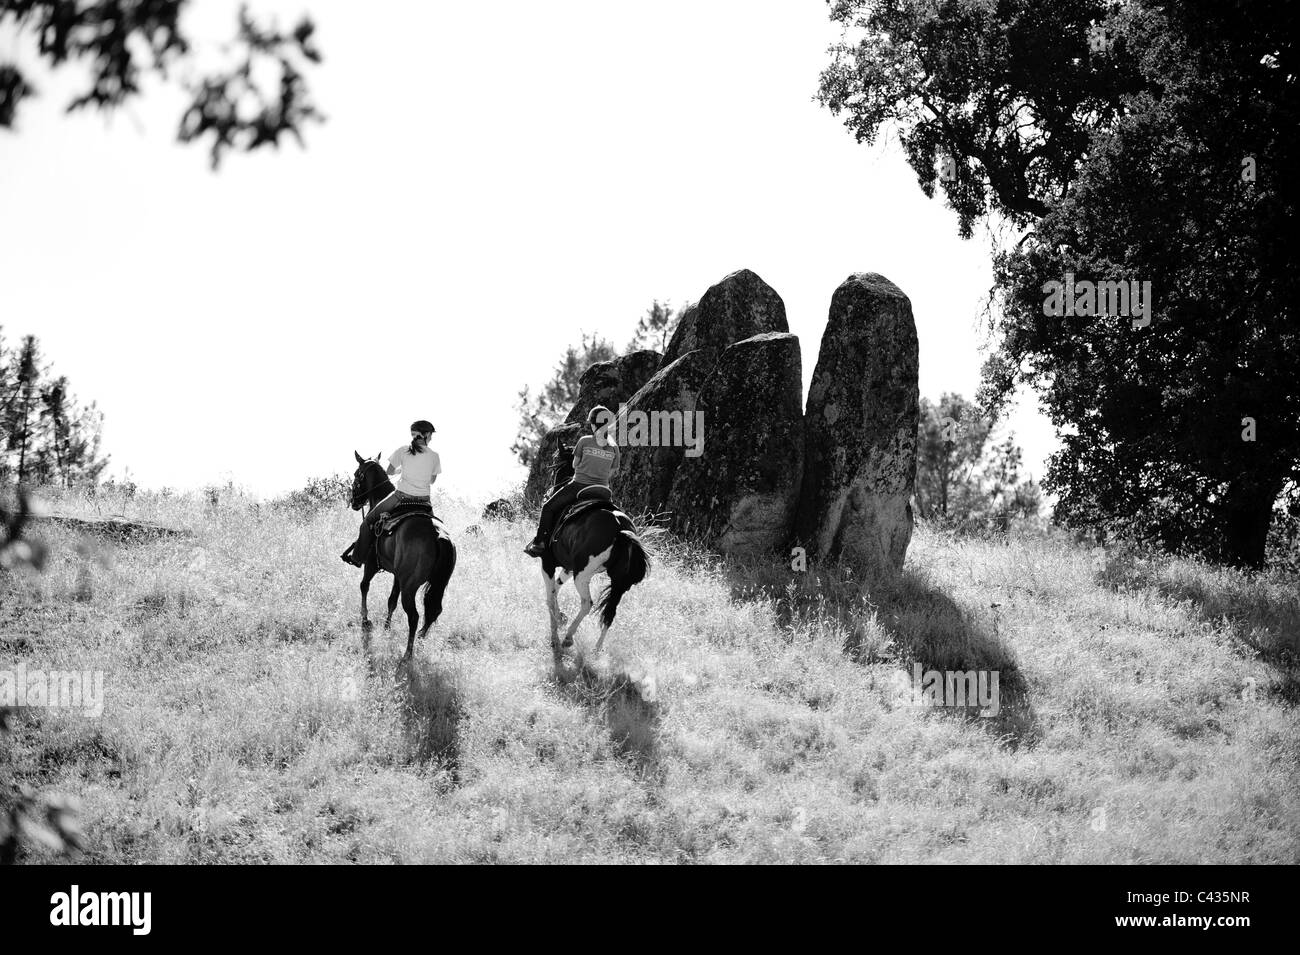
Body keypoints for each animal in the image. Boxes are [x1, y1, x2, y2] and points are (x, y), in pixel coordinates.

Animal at [351, 452, 457, 660]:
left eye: (356, 475)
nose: (353, 501)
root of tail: (439, 535)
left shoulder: (371, 563)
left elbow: (364, 585)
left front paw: (365, 618)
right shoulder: (397, 576)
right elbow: (391, 600)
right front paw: (386, 627)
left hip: (410, 586)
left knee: (414, 615)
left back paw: (408, 652)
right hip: (434, 584)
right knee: (433, 611)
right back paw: (420, 641)